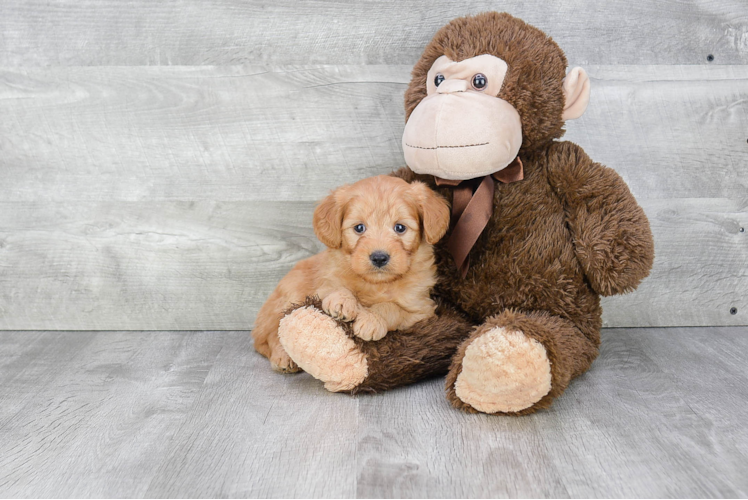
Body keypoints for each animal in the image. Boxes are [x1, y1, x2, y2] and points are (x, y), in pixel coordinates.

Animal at [251, 174, 450, 374]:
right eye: (359, 228)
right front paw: (342, 301)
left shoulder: (422, 312)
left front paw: (371, 319)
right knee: (271, 334)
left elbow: (390, 307)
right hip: (290, 295)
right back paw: (283, 357)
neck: (376, 283)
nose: (379, 257)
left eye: (400, 228)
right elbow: (336, 287)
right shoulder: (321, 286)